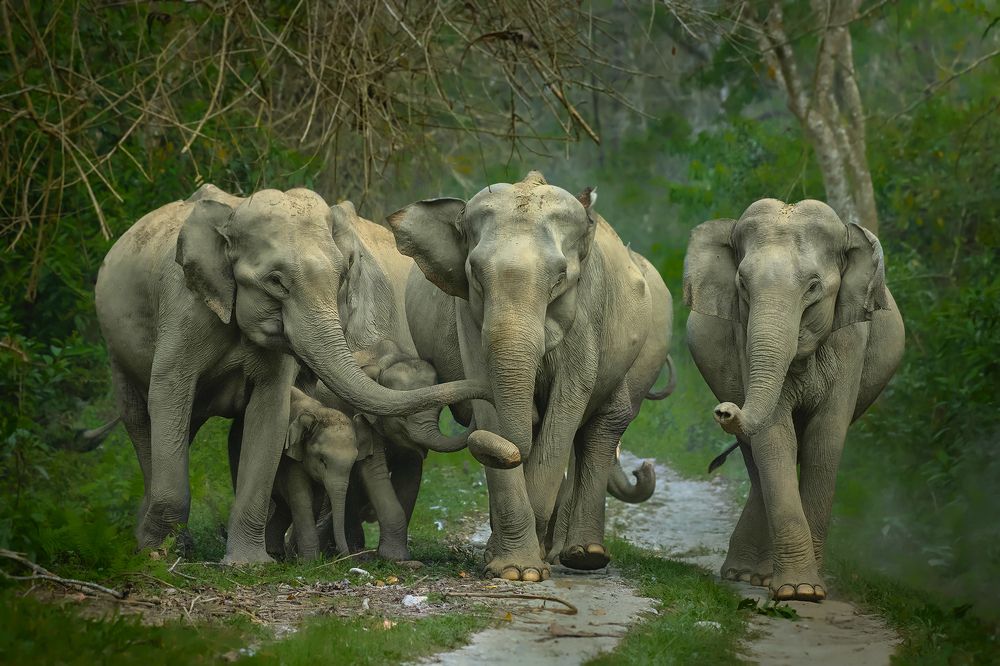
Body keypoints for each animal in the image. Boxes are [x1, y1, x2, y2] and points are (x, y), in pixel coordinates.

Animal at [94, 184, 489, 563]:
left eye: (341, 276)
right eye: (276, 282)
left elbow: (269, 410)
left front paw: (249, 563)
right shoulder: (182, 308)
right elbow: (170, 392)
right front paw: (157, 554)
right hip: (116, 352)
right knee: (144, 420)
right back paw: (161, 544)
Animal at [388, 171, 674, 581]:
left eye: (560, 276)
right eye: (475, 274)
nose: (484, 445)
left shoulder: (587, 309)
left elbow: (567, 404)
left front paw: (527, 566)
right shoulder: (468, 317)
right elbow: (488, 398)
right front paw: (513, 570)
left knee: (604, 427)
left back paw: (583, 556)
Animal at [683, 198, 904, 601]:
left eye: (814, 286)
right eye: (742, 285)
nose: (725, 409)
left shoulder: (852, 341)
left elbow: (825, 439)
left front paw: (805, 590)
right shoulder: (743, 337)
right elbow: (775, 436)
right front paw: (797, 589)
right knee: (757, 456)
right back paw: (748, 574)